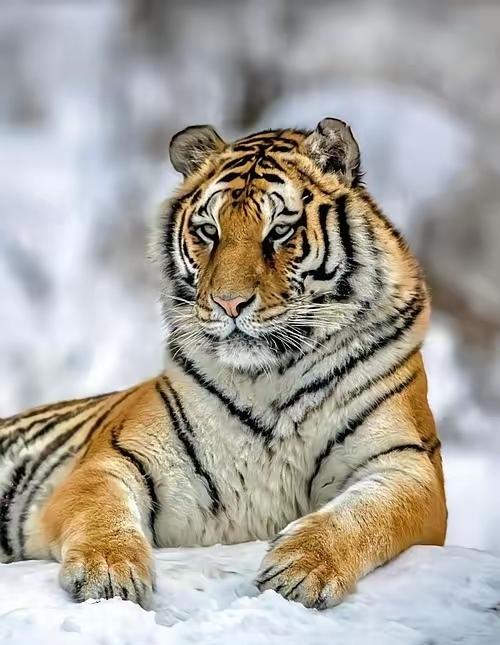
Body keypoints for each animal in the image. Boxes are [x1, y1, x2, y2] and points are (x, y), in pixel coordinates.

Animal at [0, 118, 447, 609]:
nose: (229, 303)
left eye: (280, 230)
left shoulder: (407, 466)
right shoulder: (112, 459)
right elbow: (100, 509)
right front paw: (108, 570)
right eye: (208, 231)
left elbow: (359, 516)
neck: (271, 376)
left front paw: (301, 568)